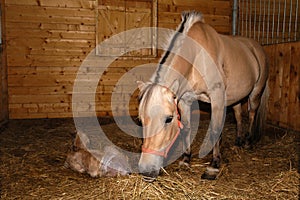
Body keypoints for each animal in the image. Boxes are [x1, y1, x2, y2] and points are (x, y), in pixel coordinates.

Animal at [137, 11, 268, 182]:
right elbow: (186, 128)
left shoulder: (217, 98)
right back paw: (238, 141)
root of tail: (256, 48)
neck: (196, 56)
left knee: (252, 113)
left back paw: (247, 141)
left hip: (255, 92)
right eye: (140, 120)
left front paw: (213, 166)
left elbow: (215, 129)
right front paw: (186, 159)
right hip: (235, 97)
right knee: (238, 115)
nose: (146, 171)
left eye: (168, 119)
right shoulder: (185, 100)